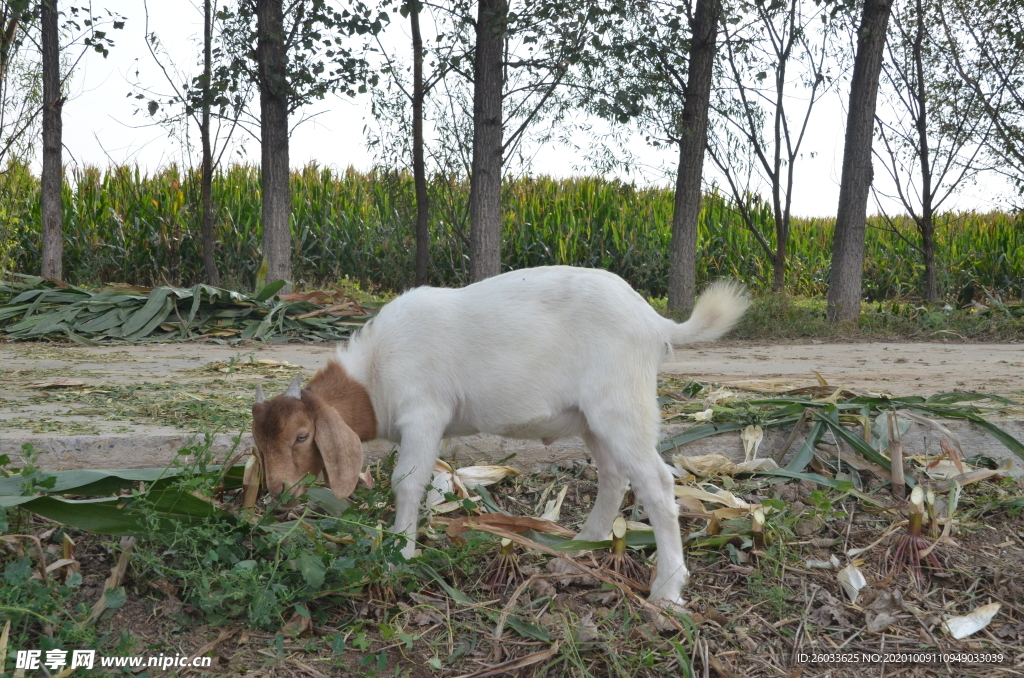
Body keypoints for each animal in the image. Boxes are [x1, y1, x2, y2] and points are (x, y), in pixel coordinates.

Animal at [247, 266, 745, 606]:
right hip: (592, 419)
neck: (373, 373)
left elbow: (406, 484)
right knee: (613, 475)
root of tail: (655, 322)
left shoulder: (424, 414)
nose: (277, 490)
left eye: (302, 436)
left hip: (622, 404)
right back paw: (579, 545)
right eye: (258, 442)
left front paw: (400, 555)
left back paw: (667, 590)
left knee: (656, 483)